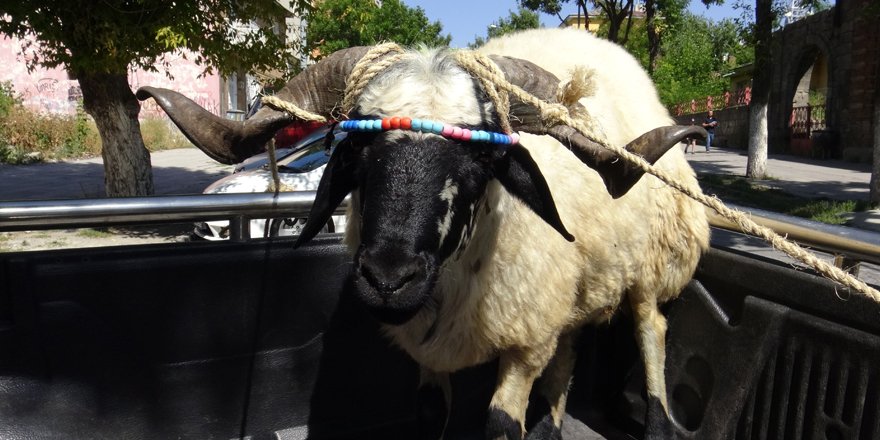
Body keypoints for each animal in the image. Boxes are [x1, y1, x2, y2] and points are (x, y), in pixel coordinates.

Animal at [141, 28, 712, 440]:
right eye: (354, 146)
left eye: (484, 156)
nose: (388, 279)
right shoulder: (432, 351)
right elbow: (431, 414)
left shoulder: (523, 343)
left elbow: (501, 425)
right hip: (576, 288)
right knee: (568, 351)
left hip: (649, 269)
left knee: (651, 333)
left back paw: (659, 424)